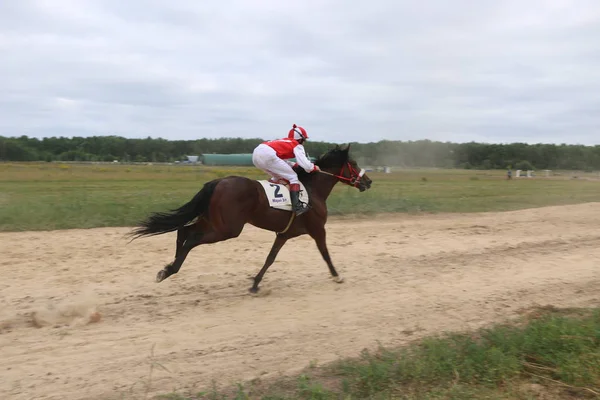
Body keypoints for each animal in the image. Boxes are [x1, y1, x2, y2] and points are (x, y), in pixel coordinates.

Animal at [129, 142, 372, 292]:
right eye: (354, 164)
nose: (368, 181)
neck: (313, 190)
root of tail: (217, 181)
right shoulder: (318, 229)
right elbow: (325, 254)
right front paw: (337, 275)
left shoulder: (284, 234)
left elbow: (270, 258)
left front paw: (255, 283)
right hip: (227, 229)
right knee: (192, 239)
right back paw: (171, 268)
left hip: (211, 220)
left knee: (183, 230)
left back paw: (169, 267)